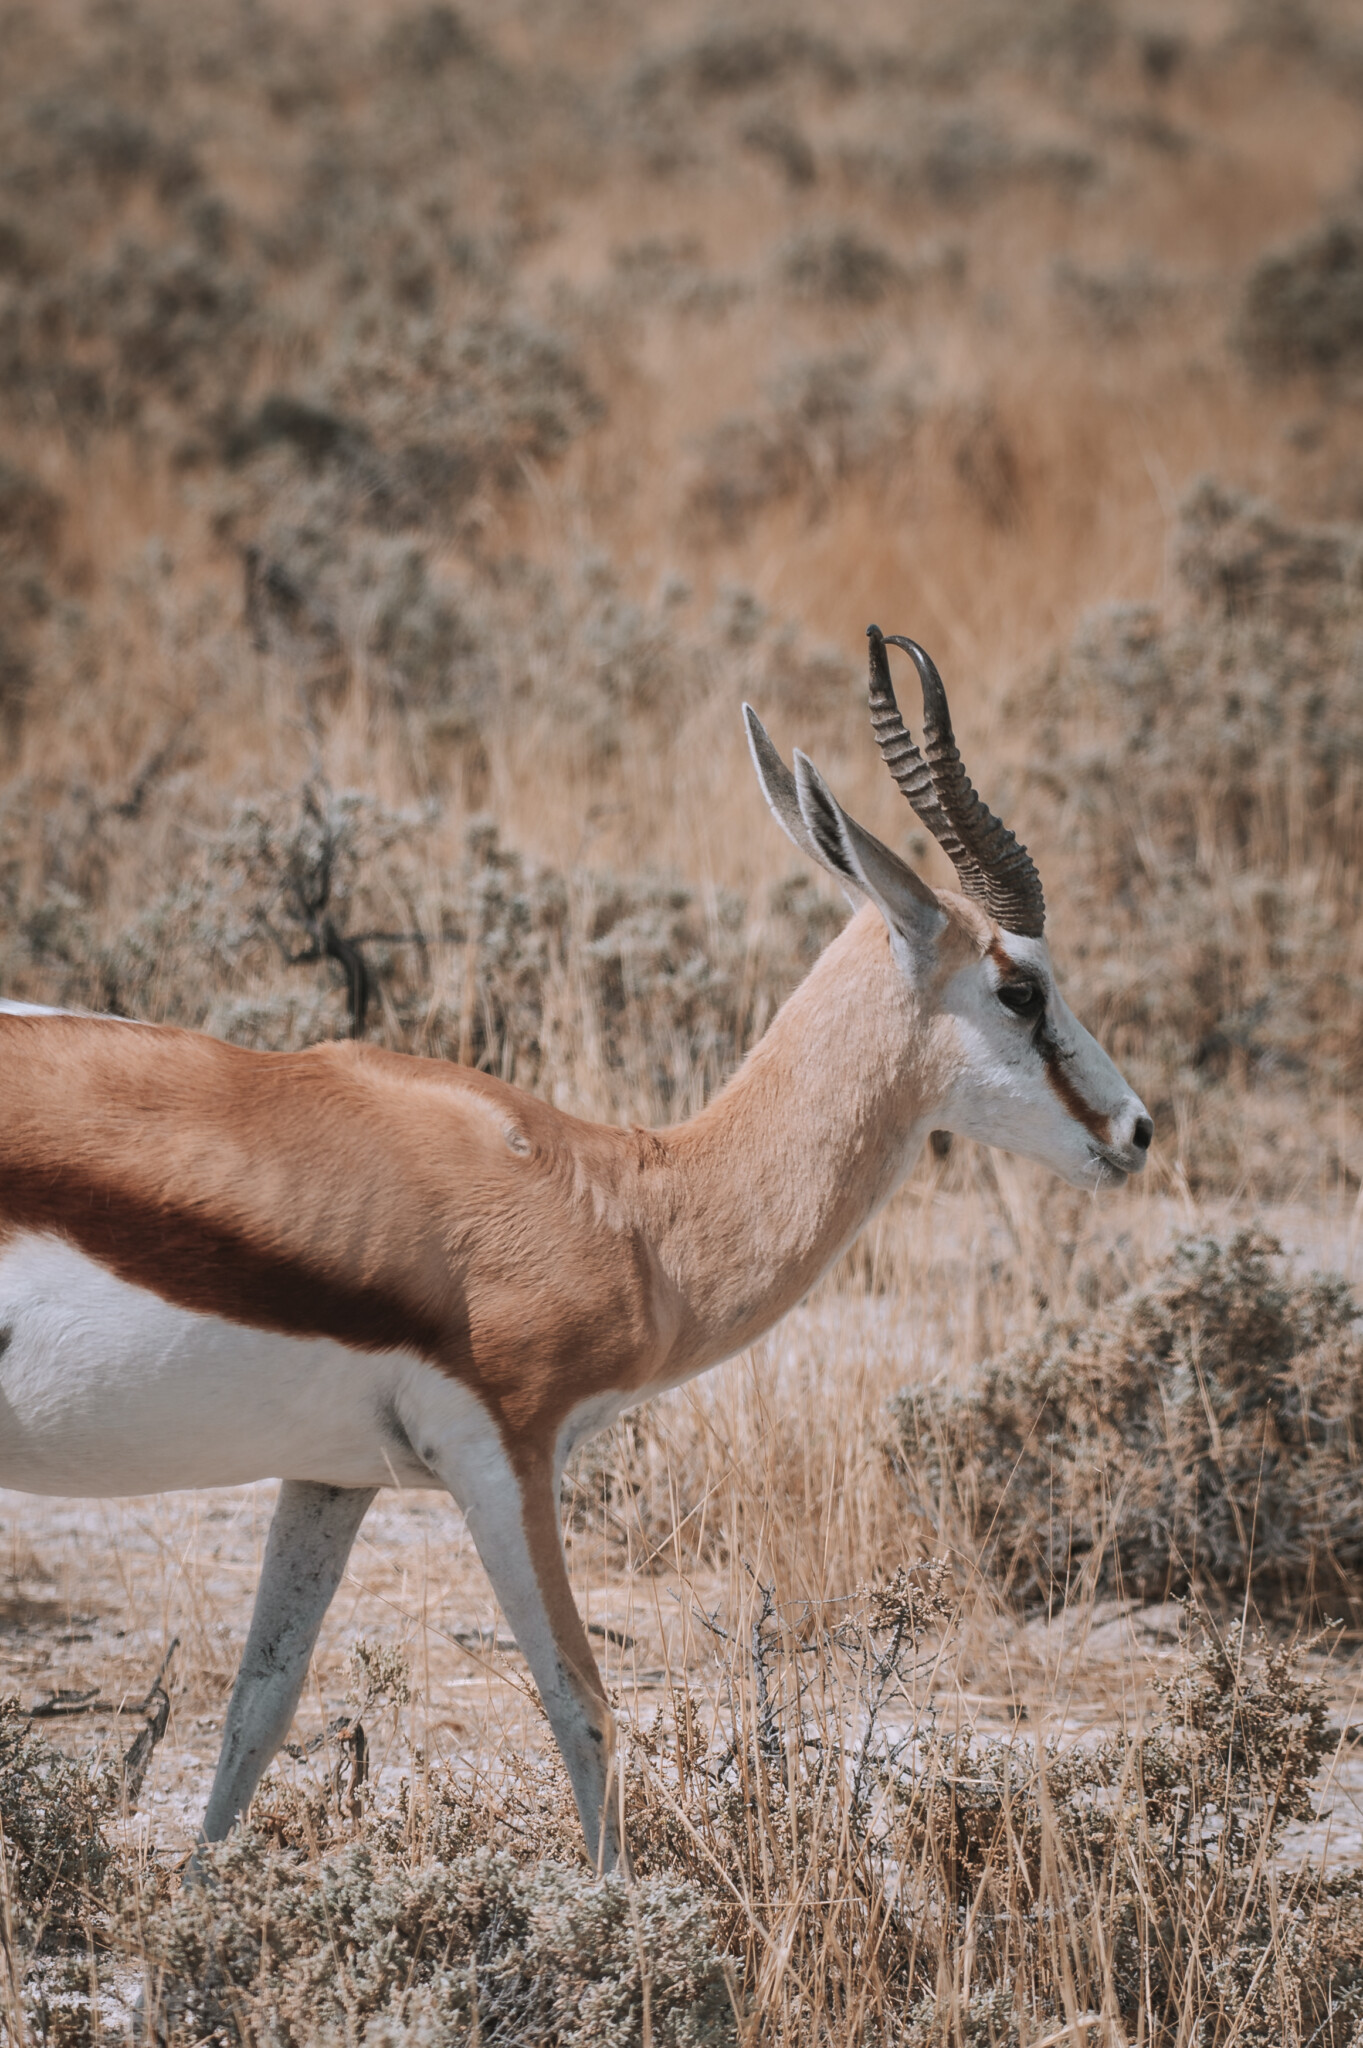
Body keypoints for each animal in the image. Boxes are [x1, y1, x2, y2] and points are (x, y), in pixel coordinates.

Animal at [0, 630, 1146, 1867]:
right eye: (1020, 987)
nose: (1136, 1128)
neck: (626, 1204)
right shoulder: (509, 1450)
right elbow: (581, 1701)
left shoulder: (331, 1474)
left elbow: (255, 1708)